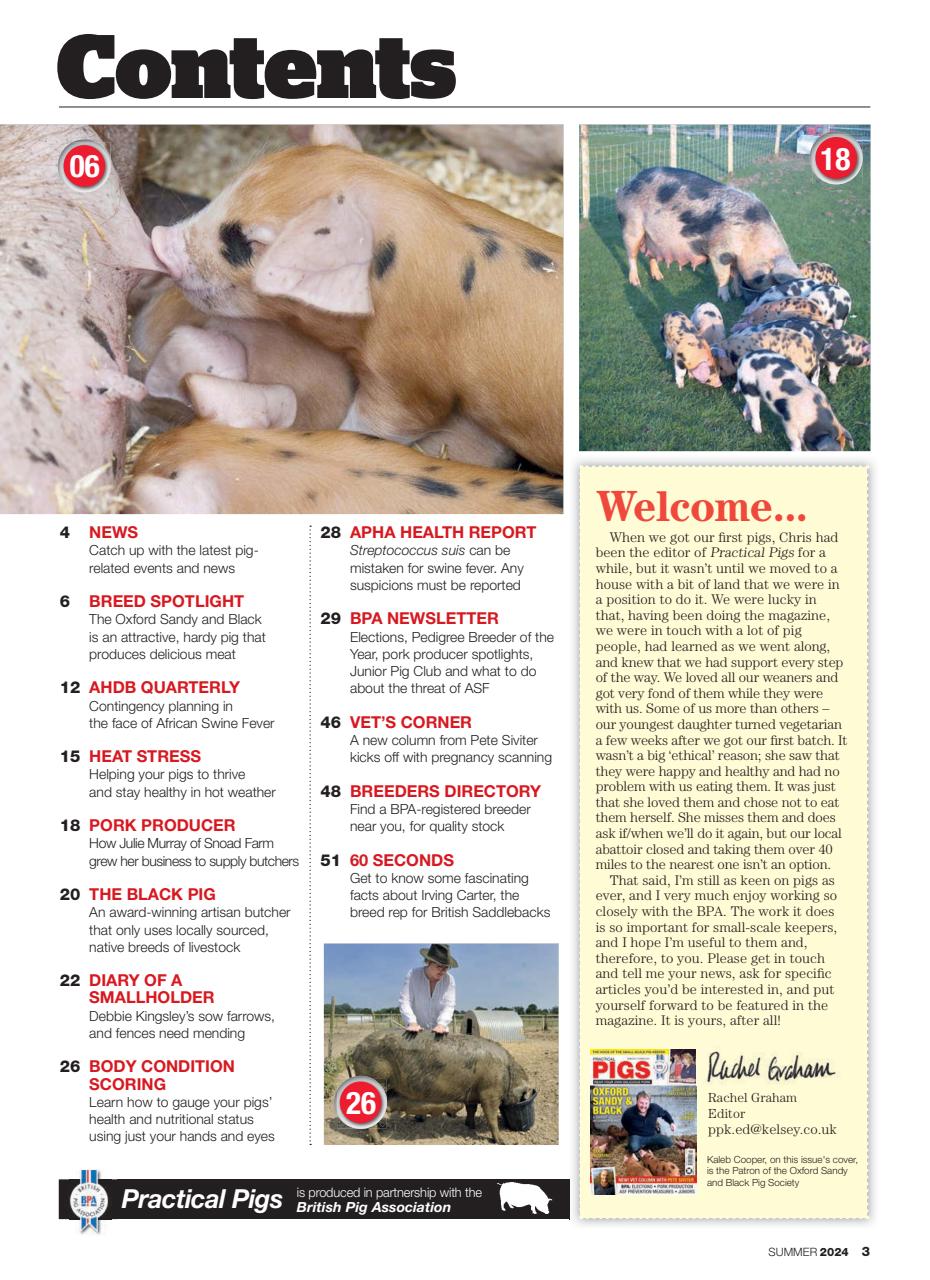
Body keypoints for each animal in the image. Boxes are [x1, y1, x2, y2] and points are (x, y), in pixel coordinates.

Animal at [346, 1029, 535, 1144]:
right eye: (524, 1097)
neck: (508, 1074)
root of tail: (355, 1048)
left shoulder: (472, 1092)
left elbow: (471, 1109)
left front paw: (470, 1126)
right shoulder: (489, 1092)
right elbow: (491, 1116)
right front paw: (502, 1141)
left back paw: (382, 1131)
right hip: (376, 1078)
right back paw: (379, 1141)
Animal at [616, 167, 798, 300]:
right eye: (771, 280)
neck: (751, 240)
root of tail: (625, 185)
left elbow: (737, 274)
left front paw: (738, 293)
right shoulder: (719, 251)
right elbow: (724, 275)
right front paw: (726, 299)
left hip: (651, 237)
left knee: (651, 255)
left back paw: (658, 277)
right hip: (631, 226)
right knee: (631, 256)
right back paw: (636, 283)